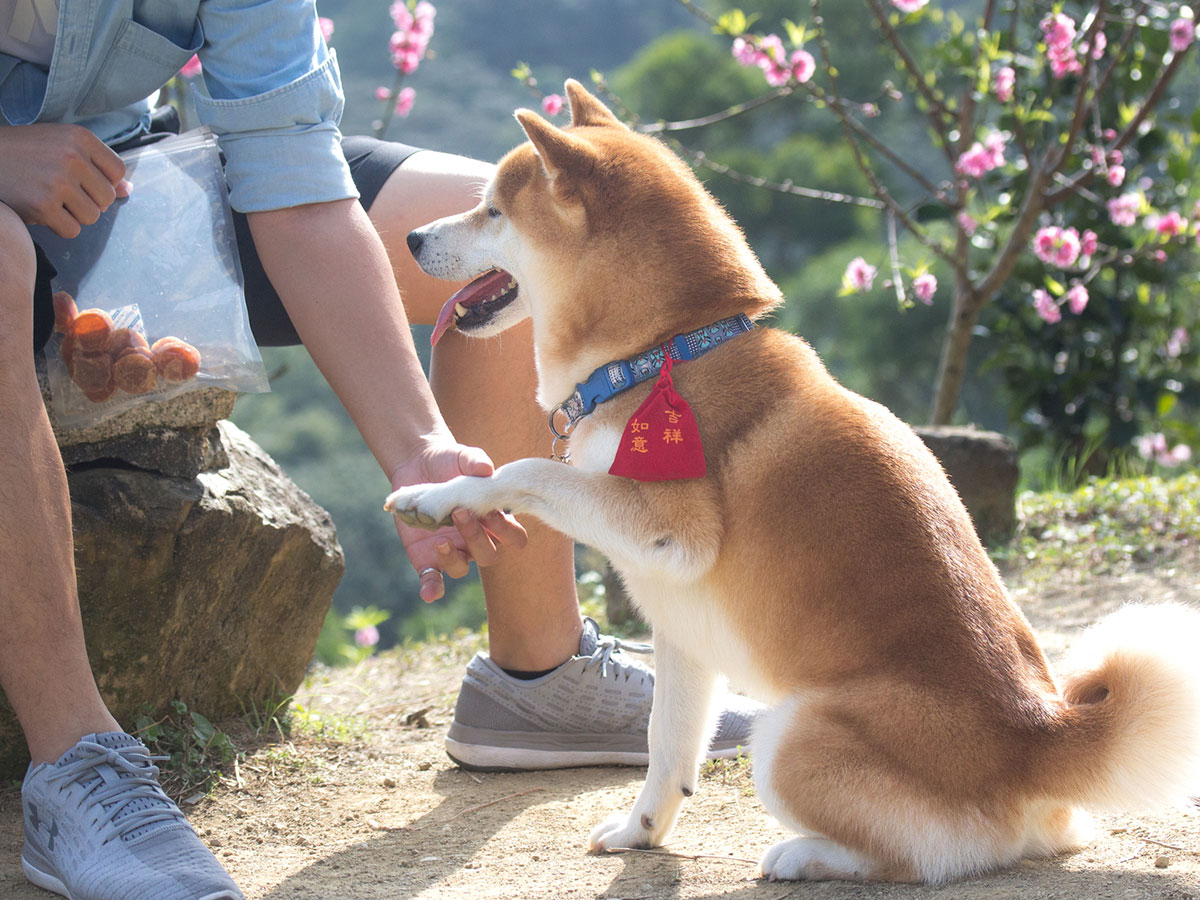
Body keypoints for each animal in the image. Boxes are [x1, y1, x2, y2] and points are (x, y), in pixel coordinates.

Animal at [384, 81, 1200, 883]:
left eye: (492, 209)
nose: (412, 239)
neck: (665, 352)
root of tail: (1039, 735)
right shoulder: (682, 627)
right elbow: (666, 747)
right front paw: (640, 832)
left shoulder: (673, 532)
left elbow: (524, 471)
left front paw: (435, 498)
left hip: (786, 735)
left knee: (924, 858)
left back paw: (804, 855)